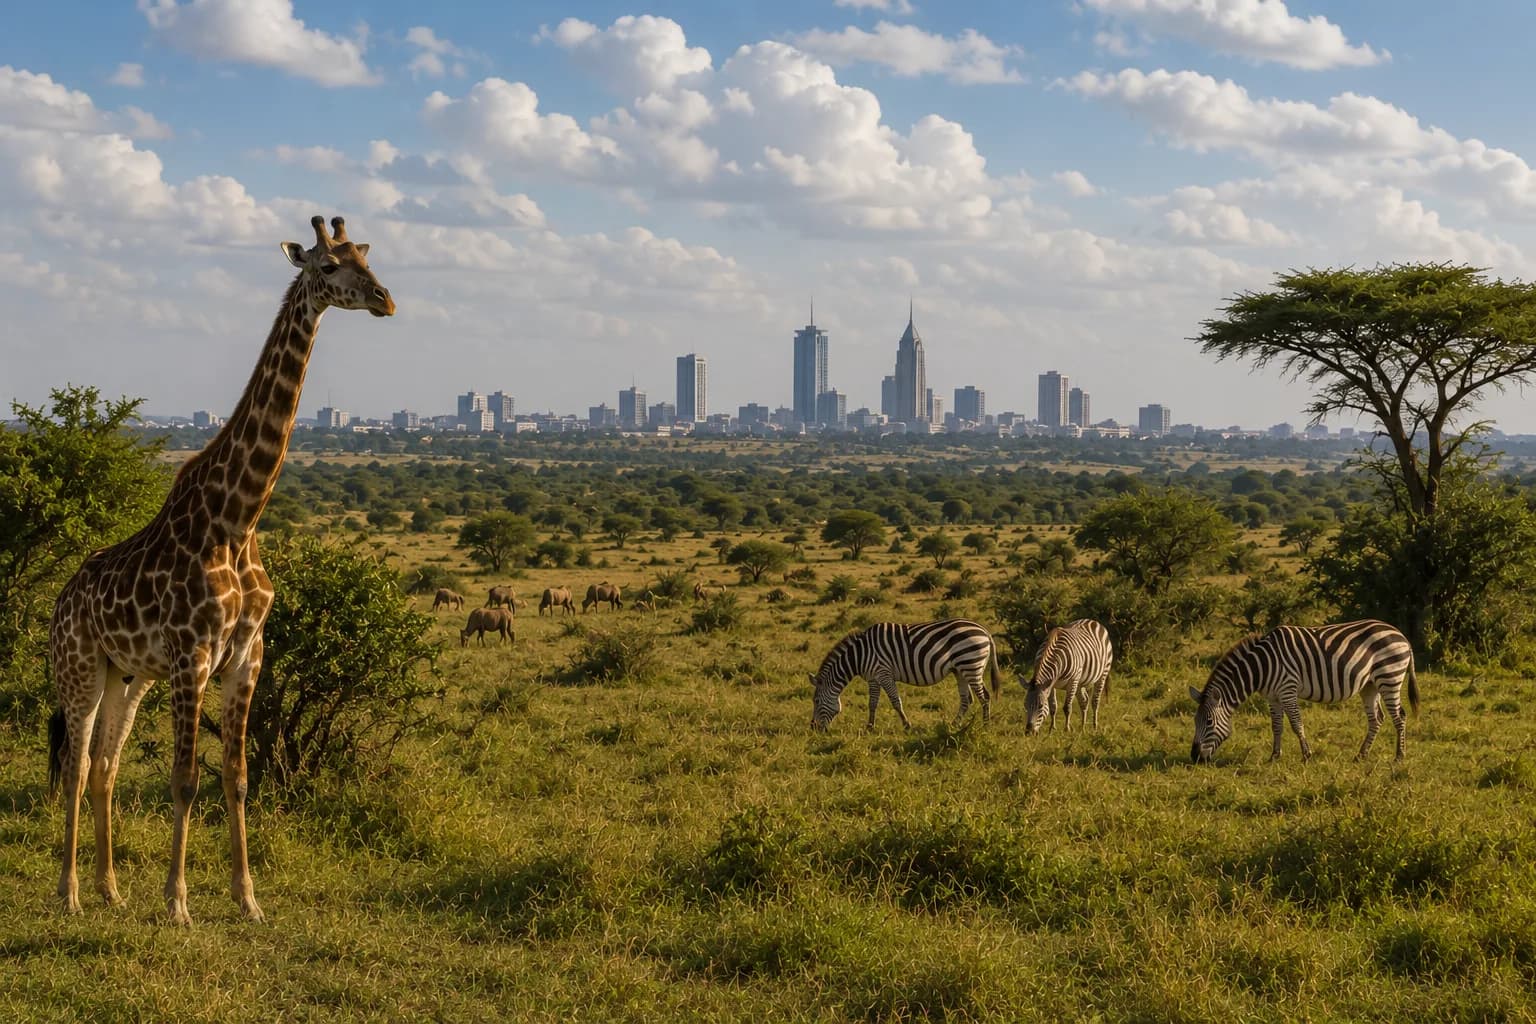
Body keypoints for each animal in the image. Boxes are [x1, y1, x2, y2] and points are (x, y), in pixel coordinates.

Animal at [47, 216, 395, 925]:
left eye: (366, 258)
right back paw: (69, 893)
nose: (384, 300)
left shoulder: (246, 655)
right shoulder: (193, 655)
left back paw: (109, 888)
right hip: (81, 668)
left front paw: (247, 898)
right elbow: (185, 780)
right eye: (327, 266)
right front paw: (178, 903)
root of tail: (60, 602)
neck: (239, 519)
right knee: (74, 764)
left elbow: (236, 778)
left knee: (105, 767)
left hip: (127, 678)